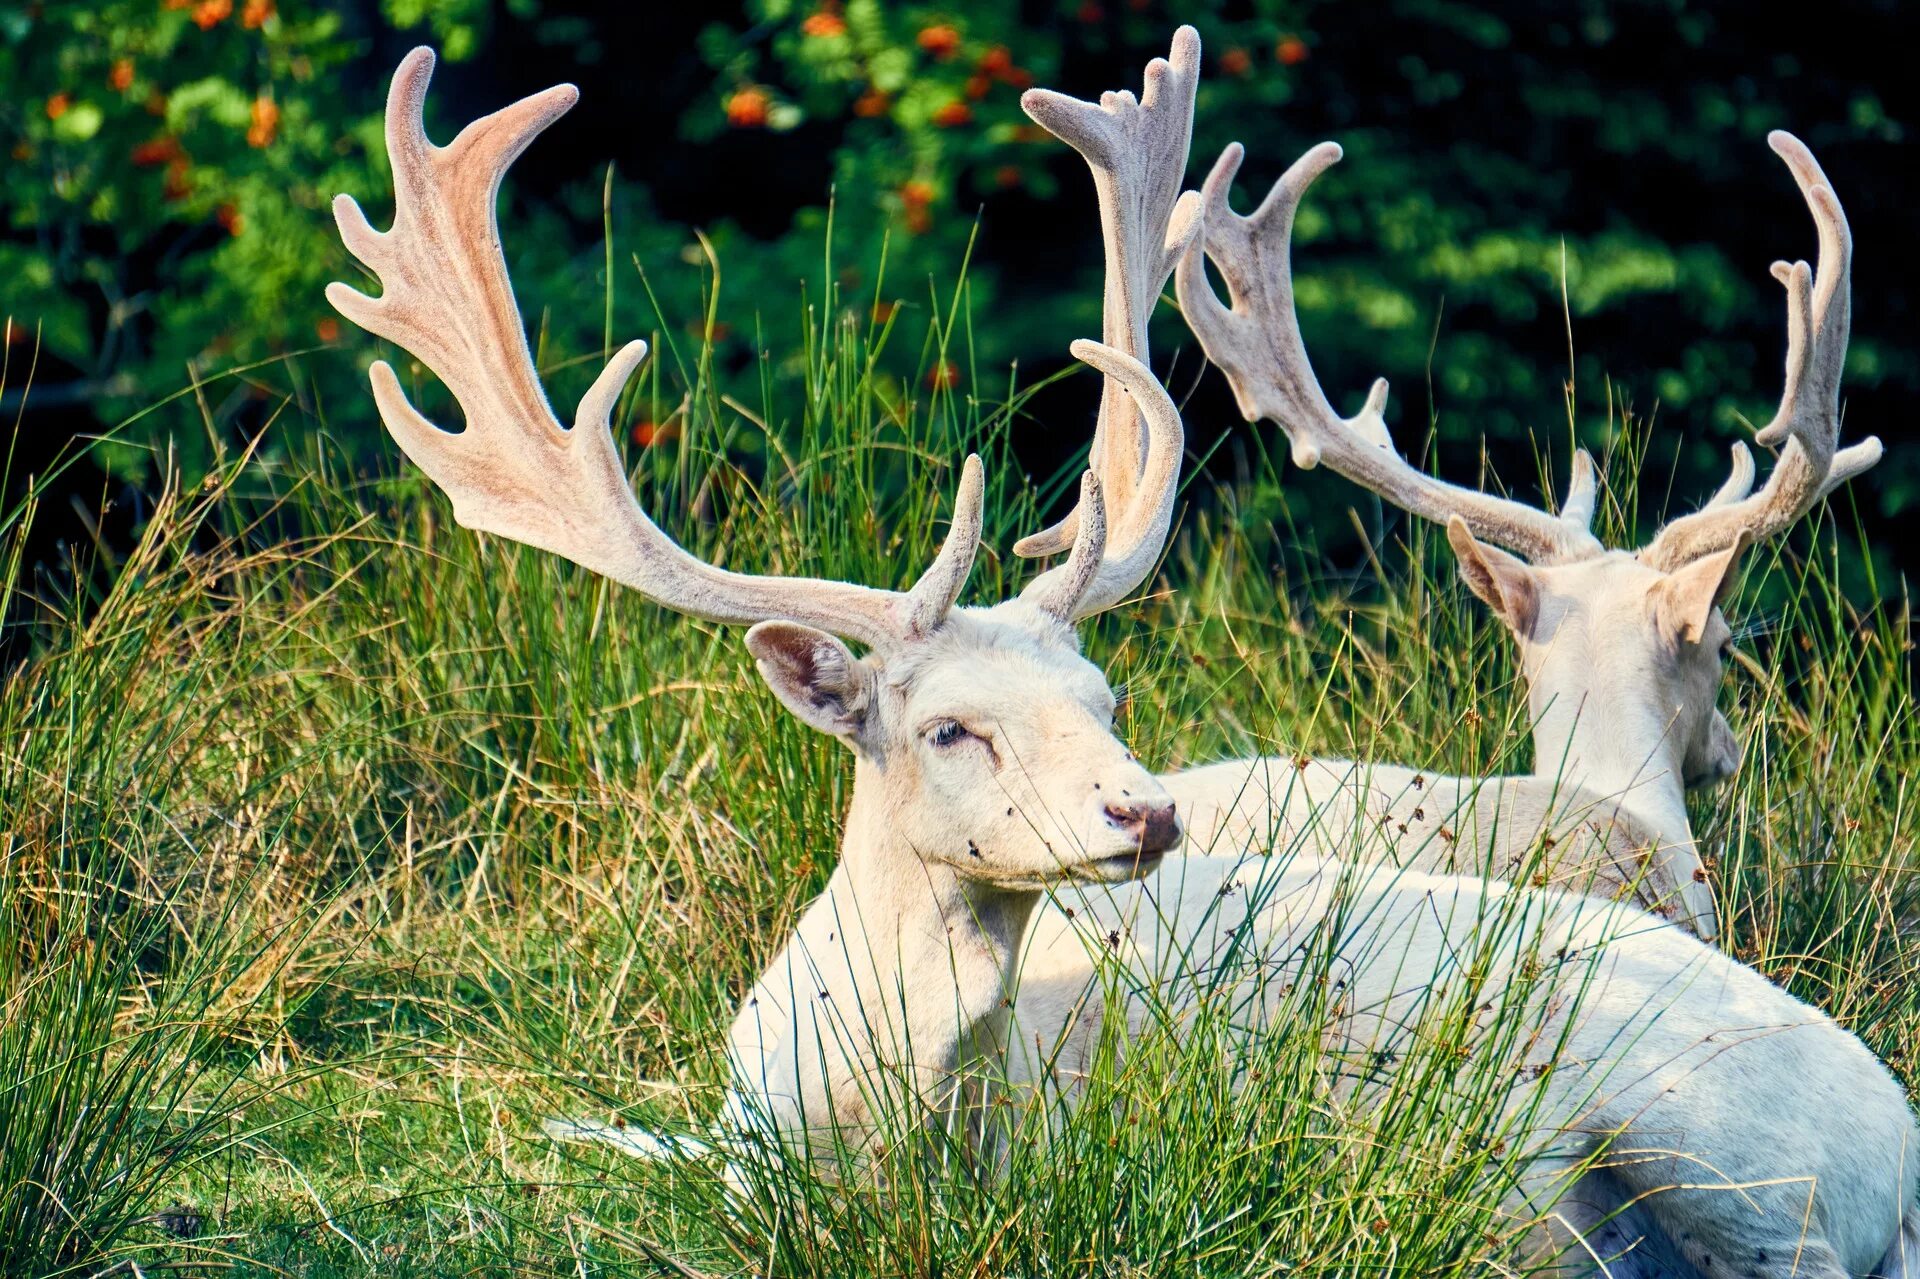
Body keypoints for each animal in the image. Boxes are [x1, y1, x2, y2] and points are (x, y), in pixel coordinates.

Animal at [330, 42, 1920, 1275]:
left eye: (1106, 694)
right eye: (949, 725)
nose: (1144, 810)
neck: (859, 1129)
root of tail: (1894, 1143)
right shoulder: (729, 1131)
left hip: (1712, 1135)